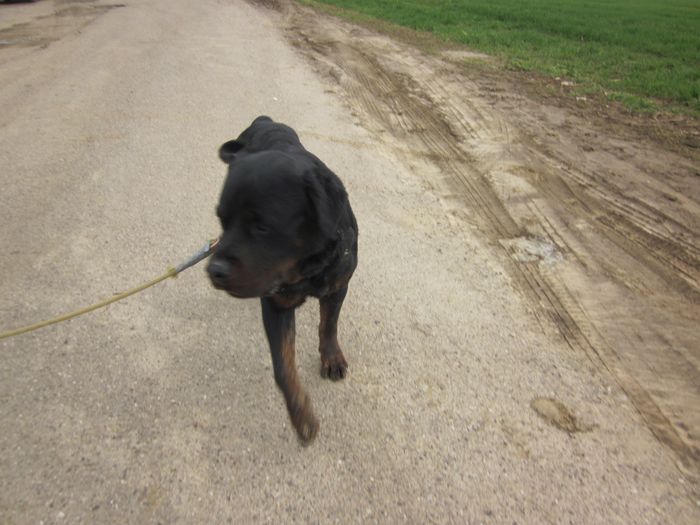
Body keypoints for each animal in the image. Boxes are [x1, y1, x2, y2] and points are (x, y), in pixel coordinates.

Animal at [206, 115, 358, 442]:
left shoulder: (337, 286)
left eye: (263, 227)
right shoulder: (276, 305)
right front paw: (300, 413)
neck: (306, 267)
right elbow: (283, 366)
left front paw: (331, 356)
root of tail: (264, 120)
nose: (215, 271)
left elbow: (329, 325)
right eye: (223, 220)